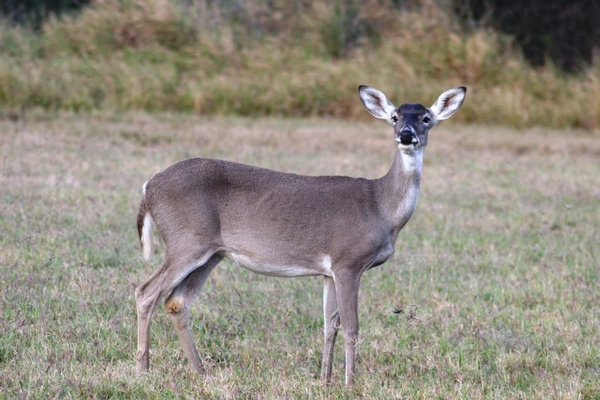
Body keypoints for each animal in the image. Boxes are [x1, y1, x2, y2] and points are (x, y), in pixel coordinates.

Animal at [134, 84, 466, 384]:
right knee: (146, 292)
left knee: (177, 302)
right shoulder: (348, 261)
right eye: (395, 117)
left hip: (212, 252)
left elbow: (329, 325)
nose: (406, 135)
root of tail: (148, 187)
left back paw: (201, 372)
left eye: (426, 118)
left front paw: (325, 379)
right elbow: (352, 327)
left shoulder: (329, 272)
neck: (381, 207)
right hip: (186, 241)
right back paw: (143, 369)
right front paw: (350, 383)